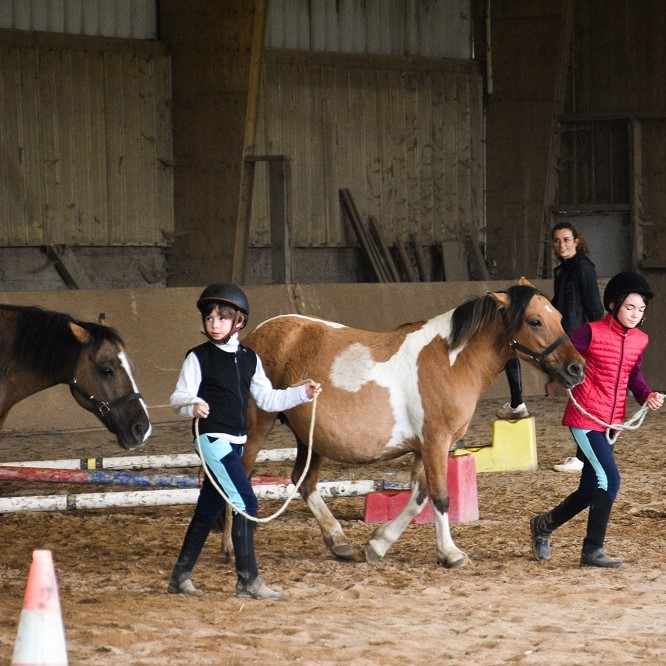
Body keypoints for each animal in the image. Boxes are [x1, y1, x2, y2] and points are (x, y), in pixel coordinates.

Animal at [228, 278, 580, 564]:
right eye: (535, 321)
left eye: (559, 317)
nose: (577, 369)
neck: (451, 362)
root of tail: (254, 336)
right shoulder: (435, 442)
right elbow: (440, 497)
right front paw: (450, 553)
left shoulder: (428, 448)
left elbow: (419, 497)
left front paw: (377, 545)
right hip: (256, 429)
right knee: (239, 476)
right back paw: (232, 548)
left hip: (310, 438)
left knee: (304, 481)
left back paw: (338, 541)